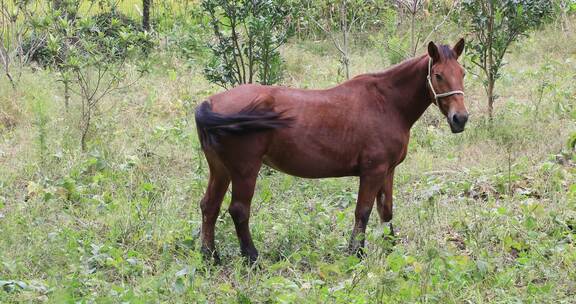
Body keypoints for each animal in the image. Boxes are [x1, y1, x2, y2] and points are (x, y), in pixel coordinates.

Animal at [194, 39, 468, 262]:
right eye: (438, 75)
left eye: (462, 72)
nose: (461, 119)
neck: (387, 103)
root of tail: (209, 103)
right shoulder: (373, 171)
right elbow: (363, 212)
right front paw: (356, 253)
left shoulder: (388, 171)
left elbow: (386, 211)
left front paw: (391, 250)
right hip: (245, 170)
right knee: (239, 210)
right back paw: (252, 258)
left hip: (221, 169)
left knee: (209, 206)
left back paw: (210, 257)